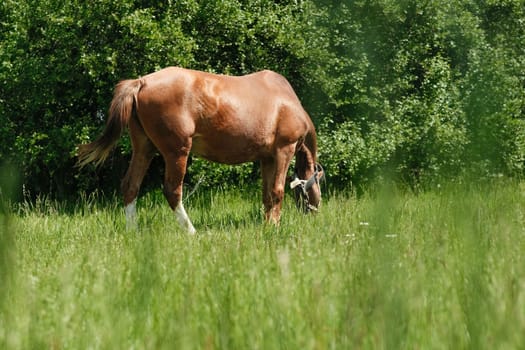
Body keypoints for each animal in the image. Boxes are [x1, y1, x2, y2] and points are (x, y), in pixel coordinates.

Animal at [77, 67, 324, 234]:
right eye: (318, 182)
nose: (315, 211)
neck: (285, 99)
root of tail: (141, 82)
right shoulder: (283, 150)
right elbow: (277, 191)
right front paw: (274, 226)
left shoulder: (267, 159)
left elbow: (266, 195)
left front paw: (267, 223)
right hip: (177, 152)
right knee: (172, 191)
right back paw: (191, 231)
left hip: (144, 149)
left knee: (130, 186)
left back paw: (133, 231)